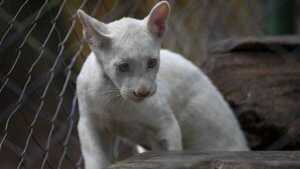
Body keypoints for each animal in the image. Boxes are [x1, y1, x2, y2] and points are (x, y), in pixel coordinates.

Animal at [75, 1, 248, 169]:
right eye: (123, 66)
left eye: (152, 63)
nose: (143, 92)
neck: (115, 99)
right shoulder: (89, 124)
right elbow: (96, 161)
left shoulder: (167, 126)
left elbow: (170, 158)